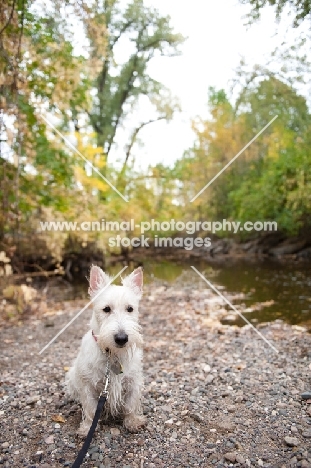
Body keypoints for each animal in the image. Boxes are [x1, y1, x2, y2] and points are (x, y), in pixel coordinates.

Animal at [66, 266, 146, 436]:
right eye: (106, 309)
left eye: (130, 309)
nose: (122, 338)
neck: (112, 354)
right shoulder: (88, 385)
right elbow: (90, 408)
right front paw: (87, 428)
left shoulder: (133, 381)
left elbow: (130, 404)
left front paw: (132, 421)